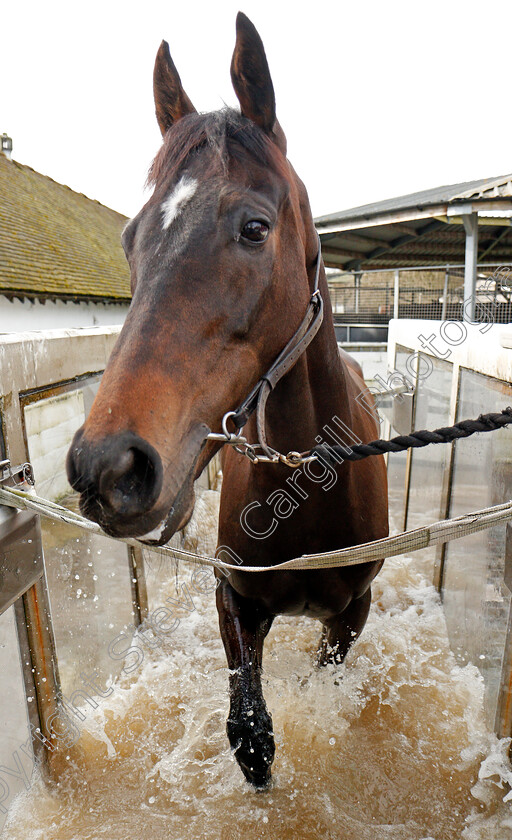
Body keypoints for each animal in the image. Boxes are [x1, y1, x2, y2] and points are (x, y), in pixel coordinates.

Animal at [67, 11, 388, 788]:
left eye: (254, 227)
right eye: (131, 238)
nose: (108, 467)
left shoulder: (350, 617)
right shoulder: (233, 599)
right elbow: (250, 734)